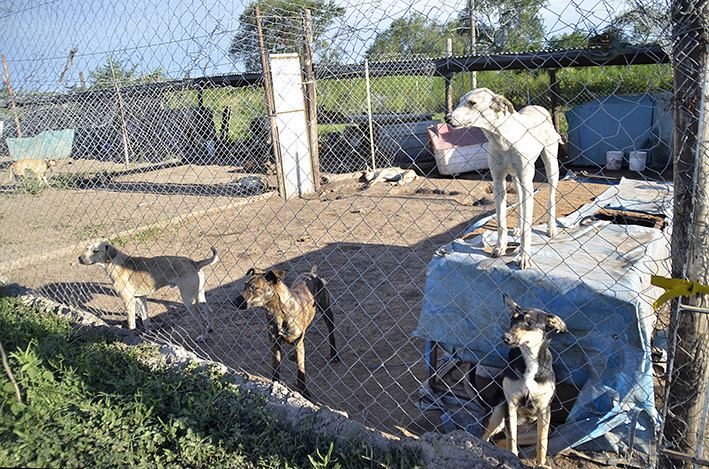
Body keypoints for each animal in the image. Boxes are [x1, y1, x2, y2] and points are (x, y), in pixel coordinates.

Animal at [77, 241, 218, 340]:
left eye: (96, 250)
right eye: (86, 248)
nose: (79, 258)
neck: (115, 262)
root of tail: (194, 262)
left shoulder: (129, 301)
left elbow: (131, 324)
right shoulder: (140, 298)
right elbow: (145, 319)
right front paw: (148, 335)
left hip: (188, 300)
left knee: (202, 320)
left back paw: (203, 337)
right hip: (199, 295)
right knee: (209, 312)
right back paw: (210, 328)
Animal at [234, 266, 338, 396]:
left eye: (254, 288)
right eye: (245, 285)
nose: (233, 302)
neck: (277, 313)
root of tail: (311, 272)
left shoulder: (297, 341)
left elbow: (300, 371)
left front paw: (304, 392)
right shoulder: (274, 342)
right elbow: (275, 368)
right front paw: (274, 385)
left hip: (326, 311)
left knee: (331, 333)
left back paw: (334, 354)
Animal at [448, 88, 560, 268]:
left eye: (472, 103)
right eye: (459, 102)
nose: (447, 118)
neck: (503, 139)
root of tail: (538, 107)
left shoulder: (528, 182)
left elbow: (528, 227)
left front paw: (524, 257)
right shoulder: (499, 182)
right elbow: (501, 220)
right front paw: (500, 247)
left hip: (551, 166)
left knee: (551, 197)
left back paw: (551, 227)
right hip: (516, 179)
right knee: (521, 203)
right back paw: (519, 228)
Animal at [484, 294, 568, 466]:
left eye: (529, 323)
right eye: (512, 320)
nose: (505, 337)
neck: (529, 360)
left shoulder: (544, 410)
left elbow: (542, 443)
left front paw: (541, 465)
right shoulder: (510, 405)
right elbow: (512, 441)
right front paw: (512, 459)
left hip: (540, 429)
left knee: (500, 441)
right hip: (497, 413)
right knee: (488, 437)